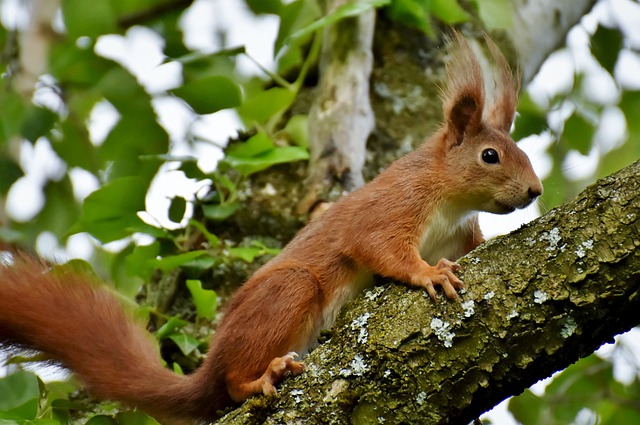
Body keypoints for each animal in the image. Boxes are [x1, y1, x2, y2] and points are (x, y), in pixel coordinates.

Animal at [0, 34, 540, 422]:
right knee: (234, 382)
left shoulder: (461, 232)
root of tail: (211, 363)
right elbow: (378, 246)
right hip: (288, 292)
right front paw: (429, 273)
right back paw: (262, 377)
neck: (449, 203)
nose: (535, 191)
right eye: (490, 156)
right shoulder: (393, 207)